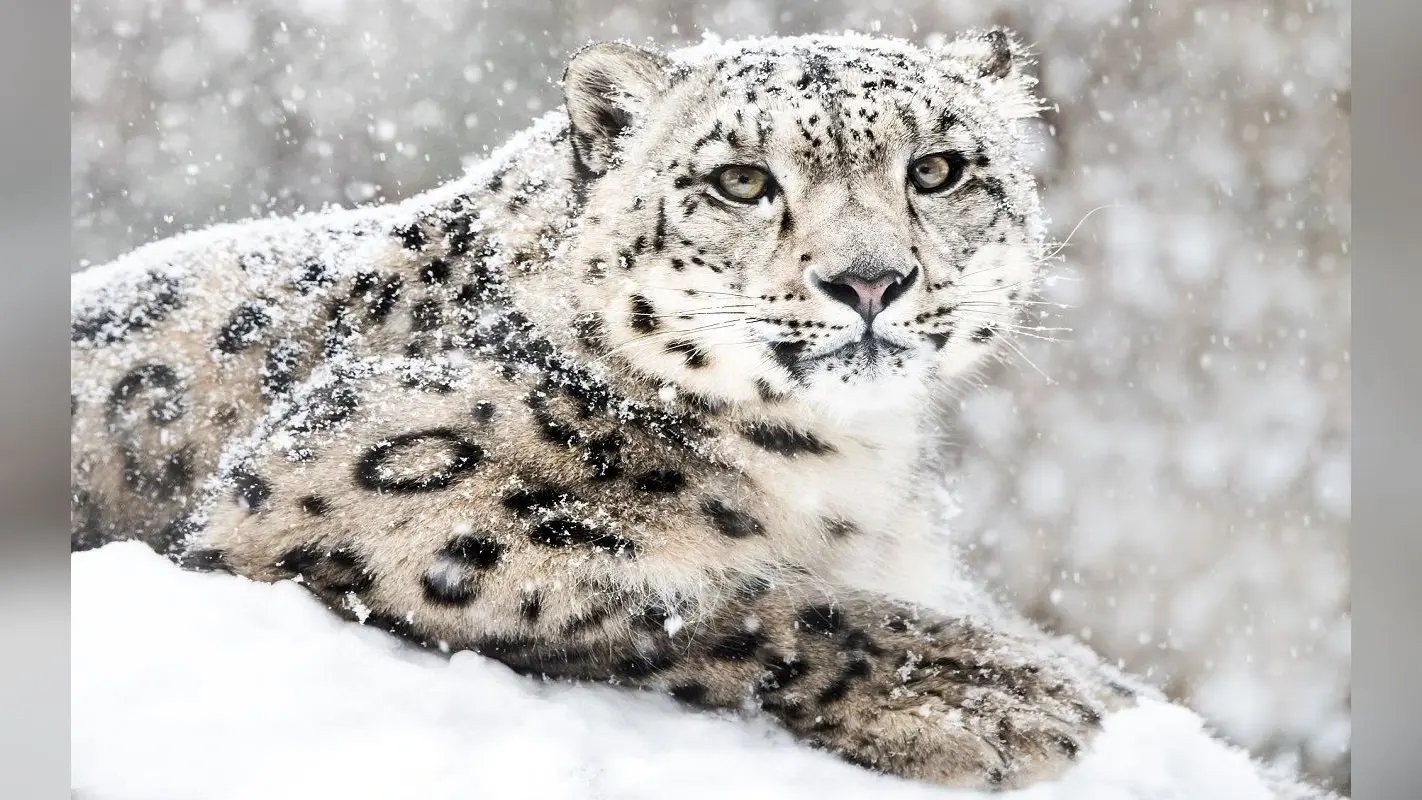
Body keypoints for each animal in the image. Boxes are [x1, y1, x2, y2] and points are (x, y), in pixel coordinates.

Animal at [70, 30, 1146, 791]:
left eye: (937, 168)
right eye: (742, 179)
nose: (869, 279)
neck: (847, 465)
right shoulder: (348, 486)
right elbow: (704, 596)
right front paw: (996, 696)